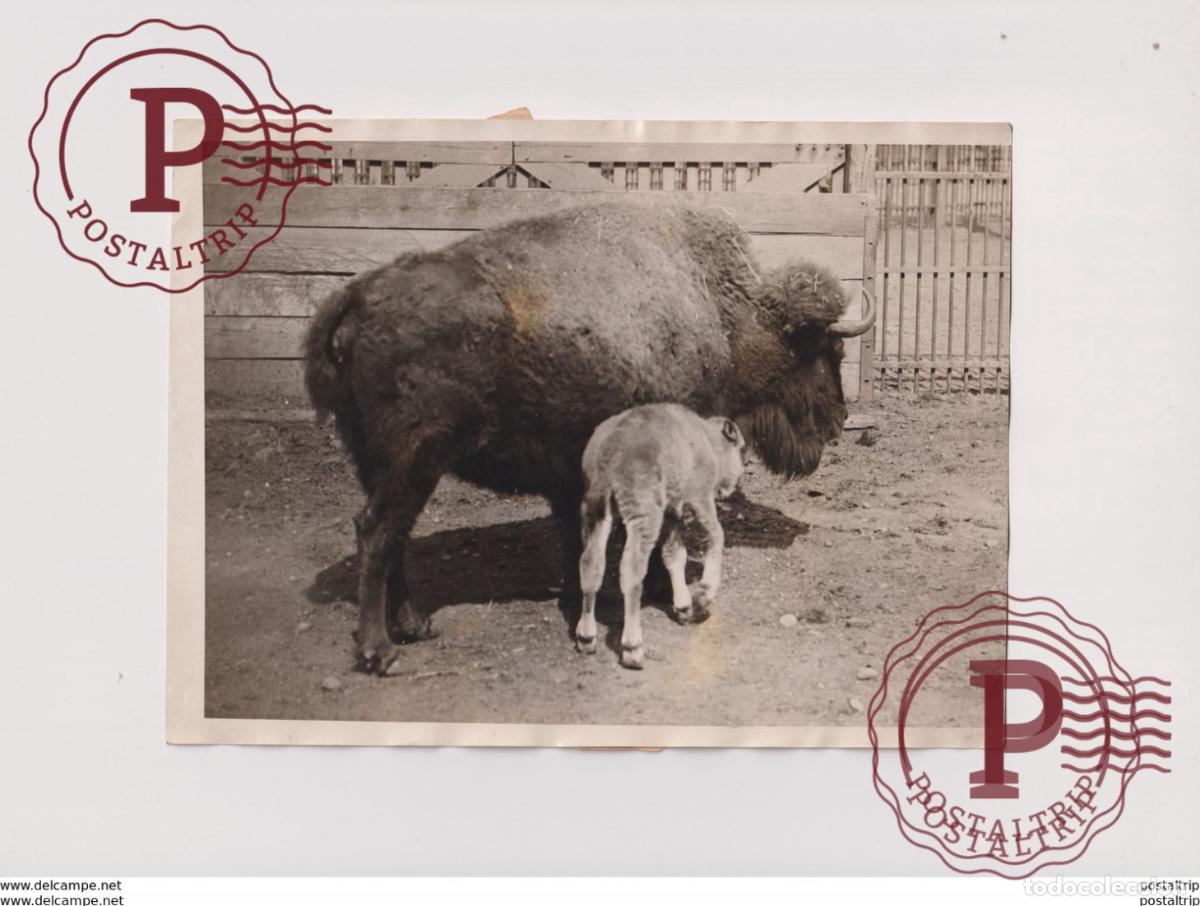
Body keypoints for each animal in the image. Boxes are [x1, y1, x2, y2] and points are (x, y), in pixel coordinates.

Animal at [304, 202, 875, 673]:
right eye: (827, 350)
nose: (838, 422)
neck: (726, 313)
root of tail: (354, 298)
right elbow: (656, 543)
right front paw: (664, 597)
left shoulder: (575, 477)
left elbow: (579, 541)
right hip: (412, 462)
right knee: (377, 534)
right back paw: (381, 650)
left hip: (383, 465)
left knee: (392, 537)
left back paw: (414, 626)